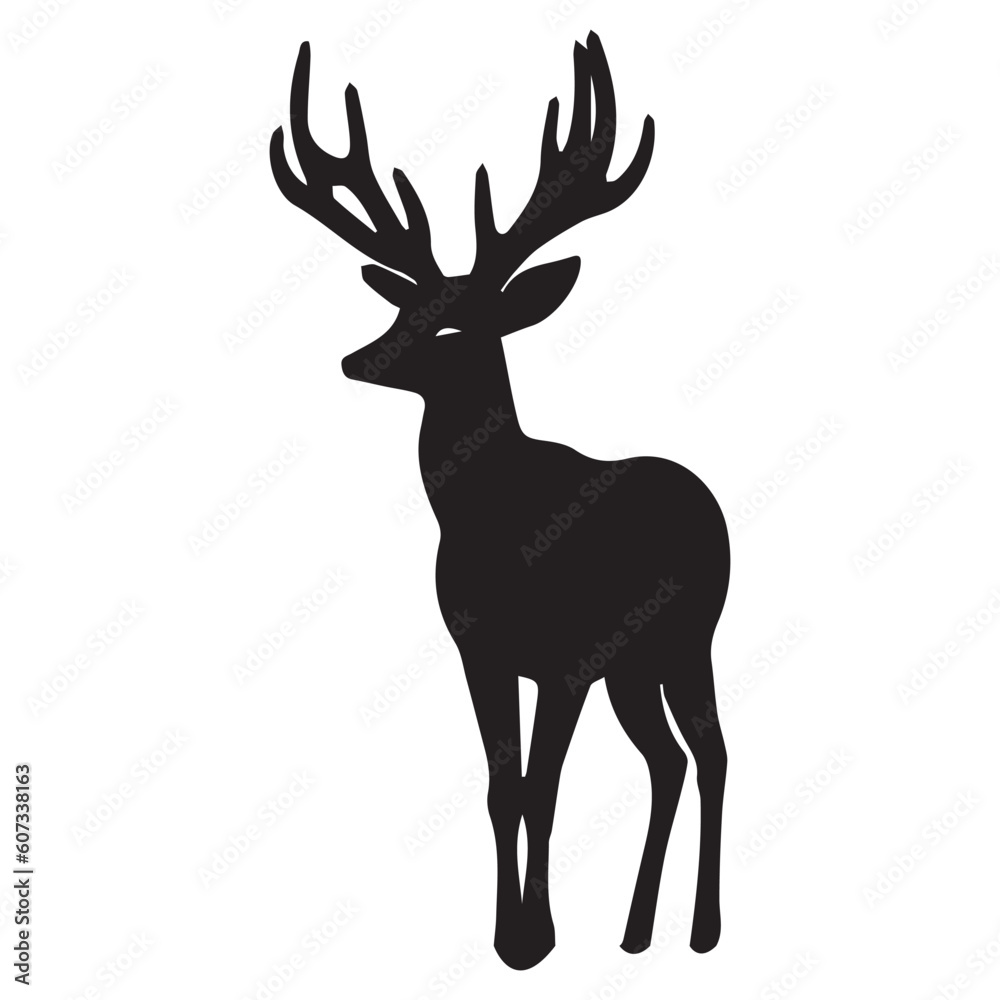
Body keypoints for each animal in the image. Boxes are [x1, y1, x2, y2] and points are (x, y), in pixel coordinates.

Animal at [270, 32, 730, 970]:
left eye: (454, 326)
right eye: (404, 306)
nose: (357, 358)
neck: (495, 526)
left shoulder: (564, 657)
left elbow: (546, 787)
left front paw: (536, 939)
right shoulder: (478, 649)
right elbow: (501, 788)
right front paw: (506, 933)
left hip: (690, 632)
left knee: (712, 751)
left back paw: (702, 930)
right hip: (633, 664)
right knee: (665, 760)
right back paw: (636, 932)